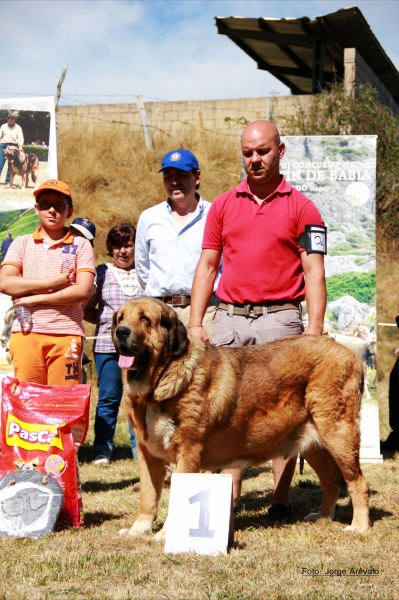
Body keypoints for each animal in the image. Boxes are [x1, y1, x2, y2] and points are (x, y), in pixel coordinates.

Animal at [112, 296, 372, 540]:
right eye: (120, 318)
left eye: (145, 319)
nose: (121, 331)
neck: (158, 384)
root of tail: (351, 355)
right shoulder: (148, 455)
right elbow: (147, 496)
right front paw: (138, 529)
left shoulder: (188, 451)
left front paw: (167, 534)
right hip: (313, 444)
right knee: (331, 481)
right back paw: (323, 516)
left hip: (338, 436)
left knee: (357, 482)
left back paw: (359, 526)